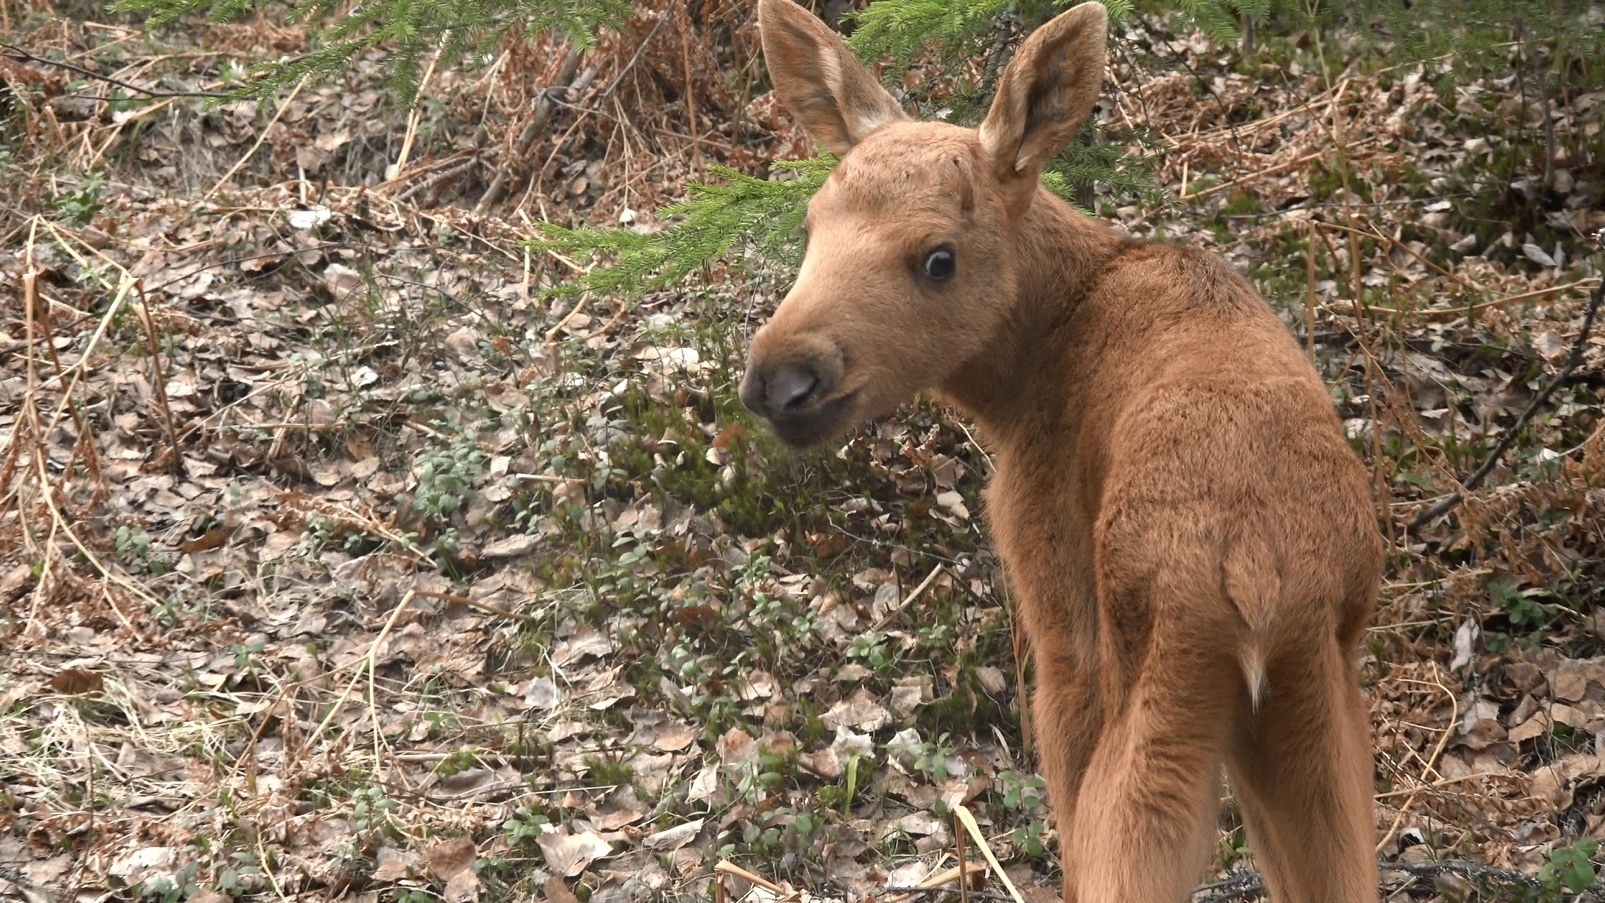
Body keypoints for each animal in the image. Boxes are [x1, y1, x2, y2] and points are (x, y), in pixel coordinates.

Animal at [738, 3, 1380, 898]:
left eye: (939, 258)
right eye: (809, 226)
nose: (781, 378)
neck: (1018, 381)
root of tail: (1256, 571)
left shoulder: (1051, 594)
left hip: (1158, 681)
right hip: (1316, 697)